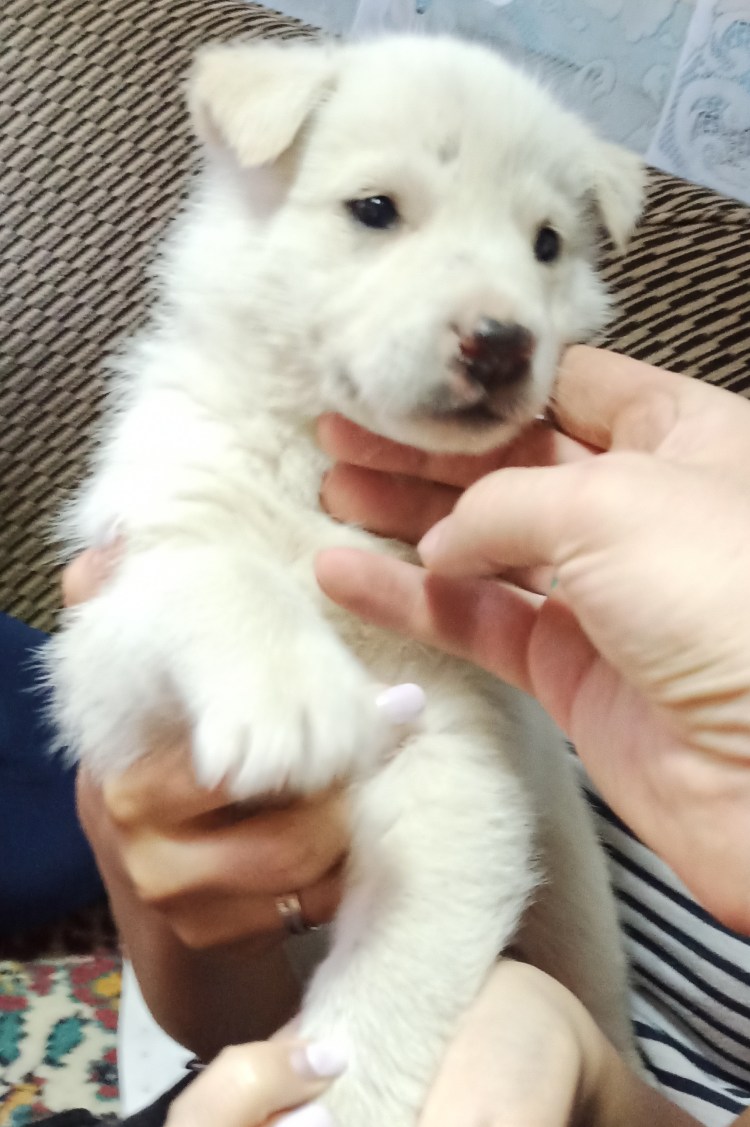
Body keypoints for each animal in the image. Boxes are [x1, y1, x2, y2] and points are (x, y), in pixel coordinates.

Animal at [50, 35, 645, 1126]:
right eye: (375, 208)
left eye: (547, 243)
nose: (503, 342)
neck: (325, 464)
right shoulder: (114, 624)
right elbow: (210, 571)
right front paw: (288, 690)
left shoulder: (460, 733)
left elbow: (402, 964)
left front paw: (337, 1090)